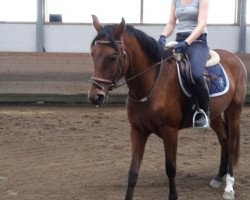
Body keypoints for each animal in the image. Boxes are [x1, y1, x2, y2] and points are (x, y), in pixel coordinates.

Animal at [87, 15, 246, 200]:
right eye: (93, 54)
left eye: (113, 56)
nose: (95, 96)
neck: (151, 84)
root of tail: (235, 58)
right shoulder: (137, 131)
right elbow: (133, 172)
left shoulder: (170, 132)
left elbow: (170, 169)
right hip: (213, 115)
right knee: (224, 139)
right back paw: (218, 177)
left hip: (234, 109)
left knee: (231, 142)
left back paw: (229, 187)